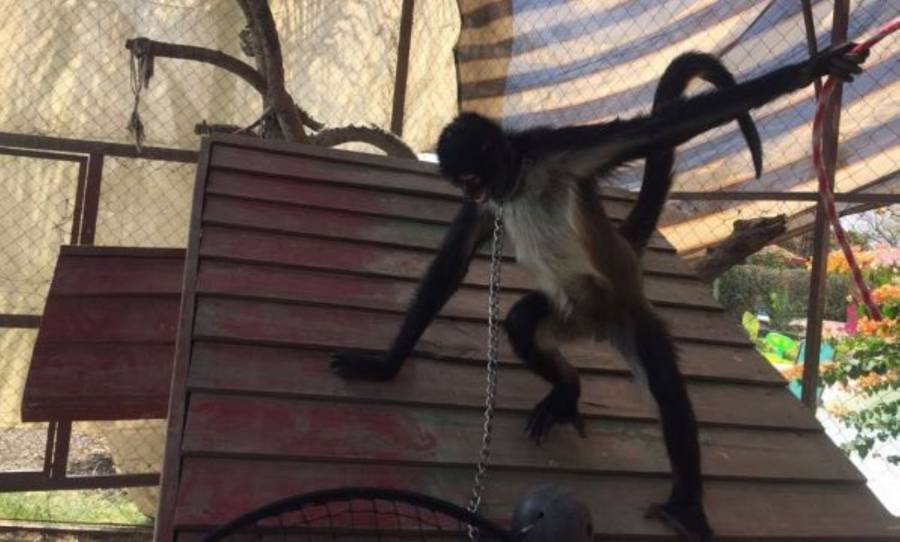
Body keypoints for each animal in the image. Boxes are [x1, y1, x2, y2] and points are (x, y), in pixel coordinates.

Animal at [331, 44, 867, 542]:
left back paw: (686, 509)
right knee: (523, 320)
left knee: (665, 384)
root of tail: (599, 317)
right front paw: (383, 367)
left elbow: (655, 131)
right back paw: (568, 391)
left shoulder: (555, 149)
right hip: (568, 312)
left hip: (626, 311)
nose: (474, 194)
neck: (518, 182)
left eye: (472, 177)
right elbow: (452, 265)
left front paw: (813, 68)